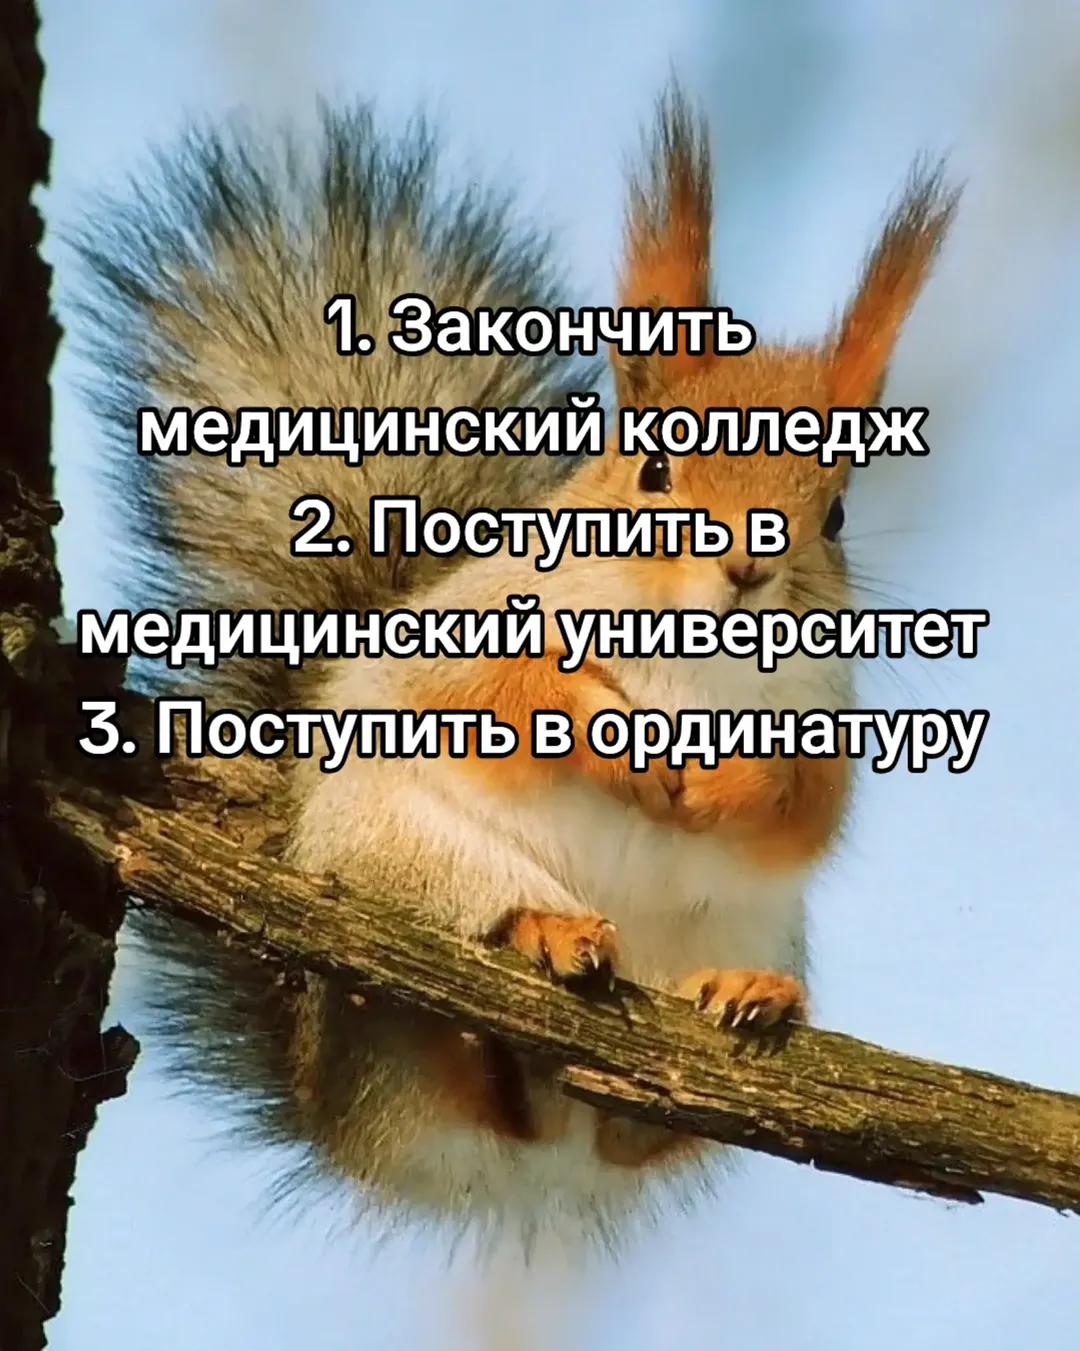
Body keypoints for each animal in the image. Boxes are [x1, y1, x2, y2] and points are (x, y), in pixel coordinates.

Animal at [71, 91, 957, 1245]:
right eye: (654, 468)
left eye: (838, 511)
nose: (749, 568)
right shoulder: (468, 634)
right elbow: (495, 694)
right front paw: (615, 743)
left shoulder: (824, 700)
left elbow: (809, 798)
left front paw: (728, 783)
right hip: (396, 859)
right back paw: (532, 938)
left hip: (751, 930)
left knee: (638, 1128)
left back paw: (751, 994)